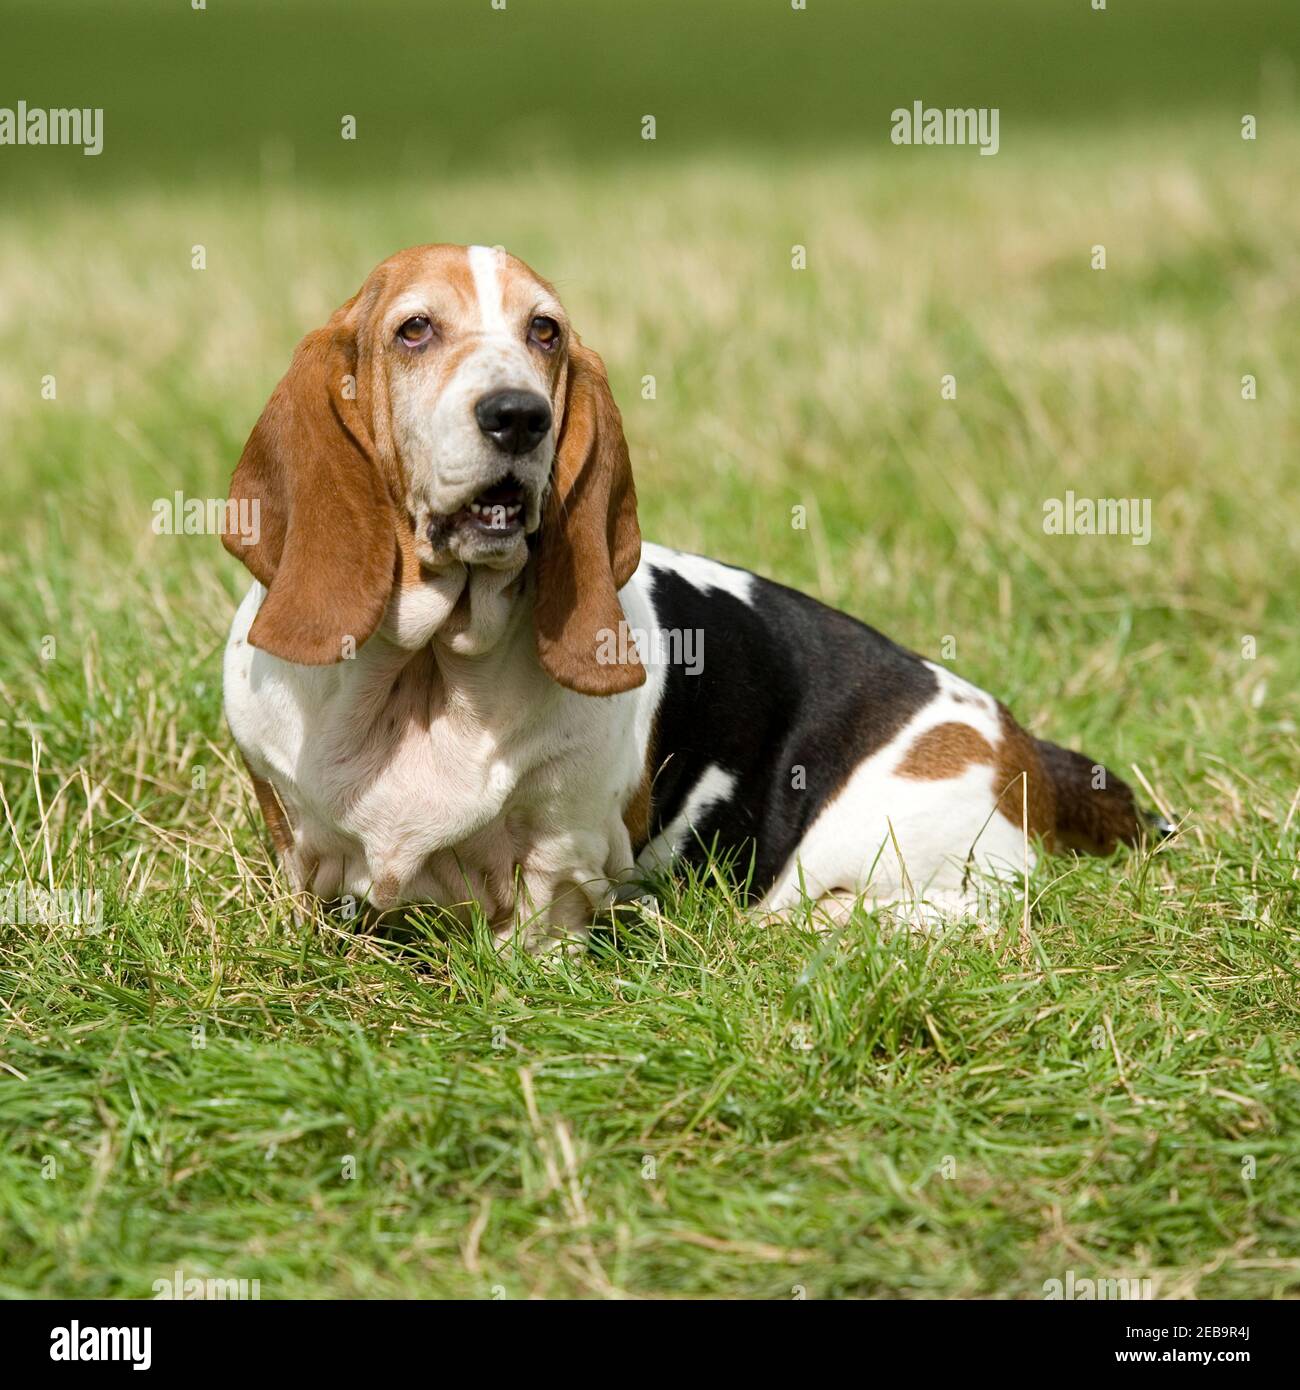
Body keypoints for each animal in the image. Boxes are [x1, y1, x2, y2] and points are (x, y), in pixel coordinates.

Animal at [223, 244, 1167, 950]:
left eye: (544, 332)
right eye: (414, 329)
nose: (520, 416)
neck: (427, 671)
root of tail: (1024, 746)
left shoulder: (563, 848)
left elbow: (542, 917)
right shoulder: (294, 832)